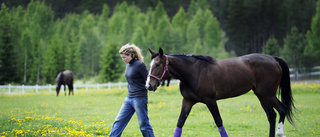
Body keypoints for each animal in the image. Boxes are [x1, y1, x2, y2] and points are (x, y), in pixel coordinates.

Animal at [146, 48, 296, 137]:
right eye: (150, 65)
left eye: (158, 64)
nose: (149, 85)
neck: (194, 72)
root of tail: (273, 59)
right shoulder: (187, 101)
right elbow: (180, 122)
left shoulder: (211, 101)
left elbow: (218, 122)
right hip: (262, 96)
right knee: (272, 116)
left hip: (268, 95)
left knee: (282, 109)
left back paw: (280, 132)